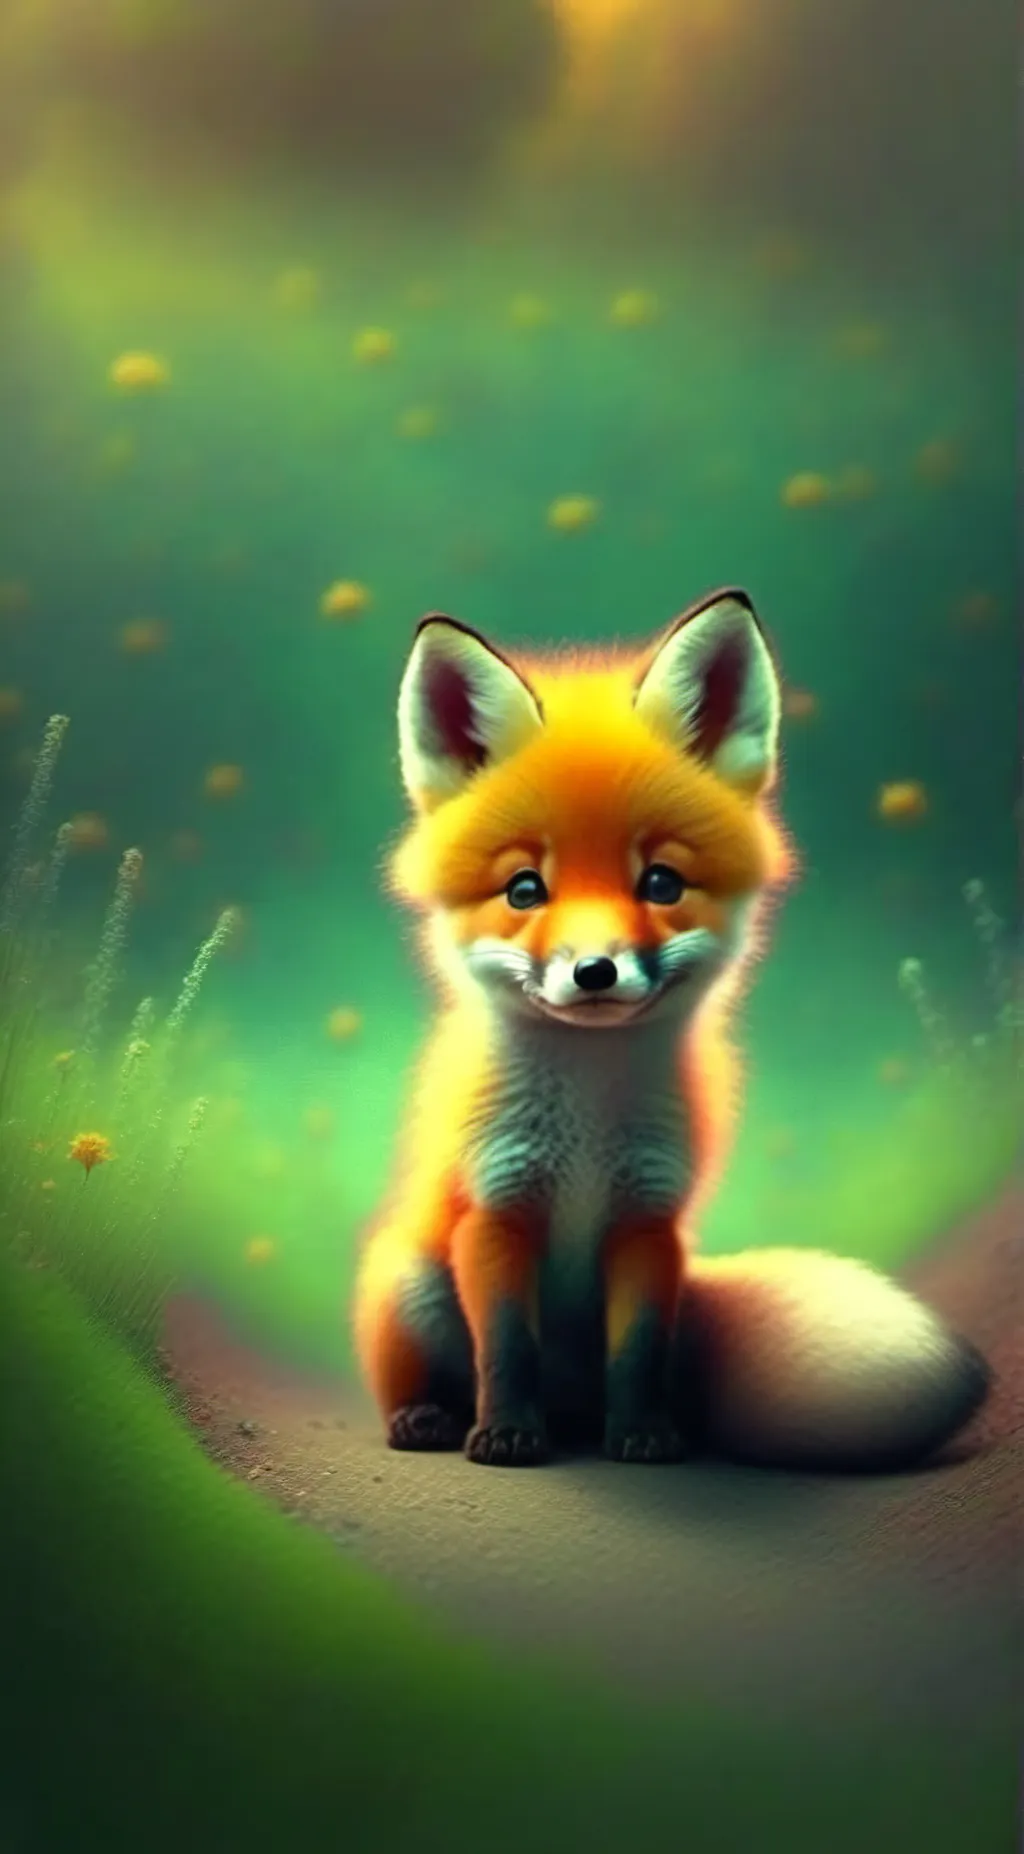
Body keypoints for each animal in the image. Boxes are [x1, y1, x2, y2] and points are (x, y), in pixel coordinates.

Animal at [352, 587, 991, 1470]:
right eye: (524, 890)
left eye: (660, 882)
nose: (595, 972)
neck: (585, 1139)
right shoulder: (496, 1211)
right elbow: (507, 1348)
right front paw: (507, 1434)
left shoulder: (650, 1222)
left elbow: (637, 1353)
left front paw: (644, 1436)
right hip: (410, 1281)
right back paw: (427, 1418)